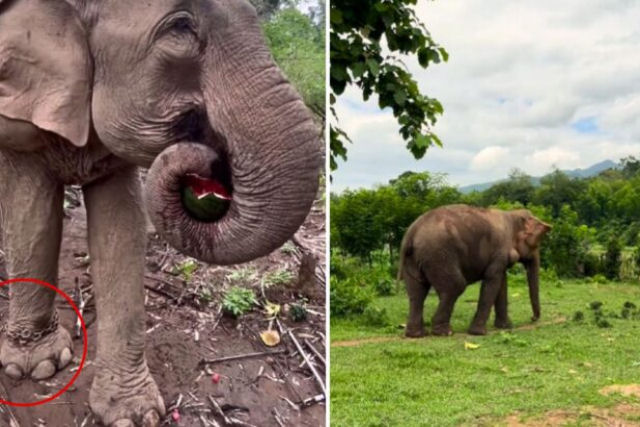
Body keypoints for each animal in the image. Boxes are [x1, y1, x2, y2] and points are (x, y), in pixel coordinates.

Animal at [0, 1, 320, 426]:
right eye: (181, 27)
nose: (213, 162)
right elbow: (31, 213)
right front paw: (33, 367)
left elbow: (120, 230)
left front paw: (132, 415)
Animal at [396, 204, 552, 338]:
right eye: (535, 244)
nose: (533, 318)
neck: (511, 215)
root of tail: (411, 233)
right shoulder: (500, 251)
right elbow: (492, 281)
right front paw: (479, 333)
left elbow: (502, 283)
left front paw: (506, 327)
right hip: (438, 256)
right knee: (456, 286)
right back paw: (444, 333)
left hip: (415, 259)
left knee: (417, 293)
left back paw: (416, 334)